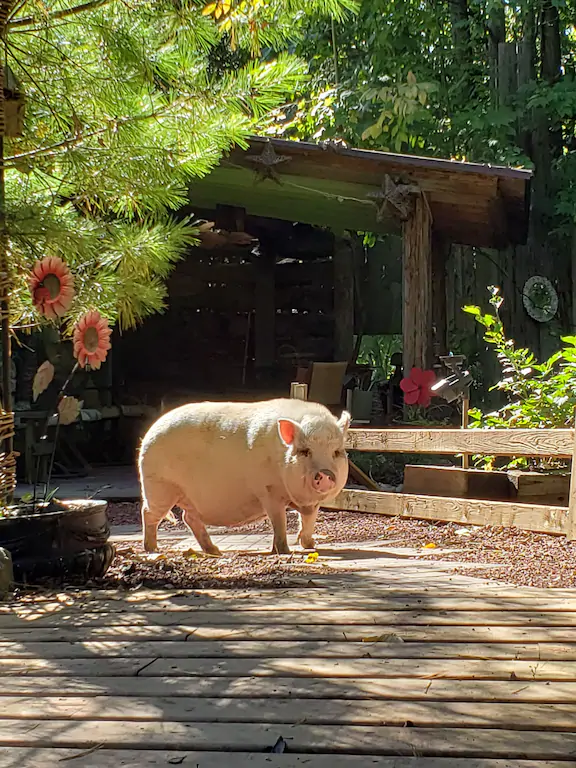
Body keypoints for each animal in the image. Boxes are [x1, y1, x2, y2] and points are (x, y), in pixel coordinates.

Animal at [139, 398, 350, 555]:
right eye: (305, 451)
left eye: (337, 452)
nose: (325, 474)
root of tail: (149, 433)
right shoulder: (269, 492)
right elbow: (279, 521)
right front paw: (284, 551)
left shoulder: (311, 503)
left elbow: (309, 520)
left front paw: (310, 545)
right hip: (159, 487)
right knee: (148, 513)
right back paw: (153, 549)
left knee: (188, 517)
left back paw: (214, 551)